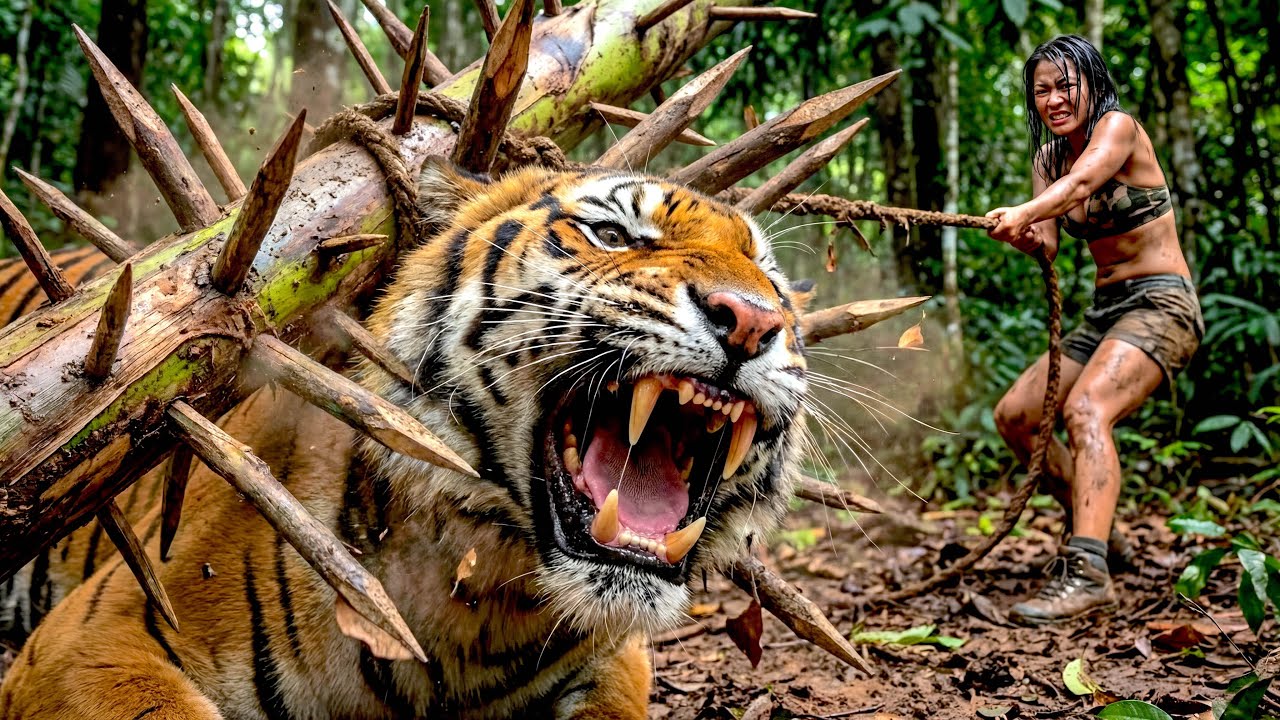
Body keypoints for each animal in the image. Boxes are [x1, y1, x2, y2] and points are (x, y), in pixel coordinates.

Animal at [0, 157, 810, 719]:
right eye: (610, 235)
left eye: (776, 285)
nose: (752, 319)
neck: (483, 610)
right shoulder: (93, 640)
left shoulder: (618, 659)